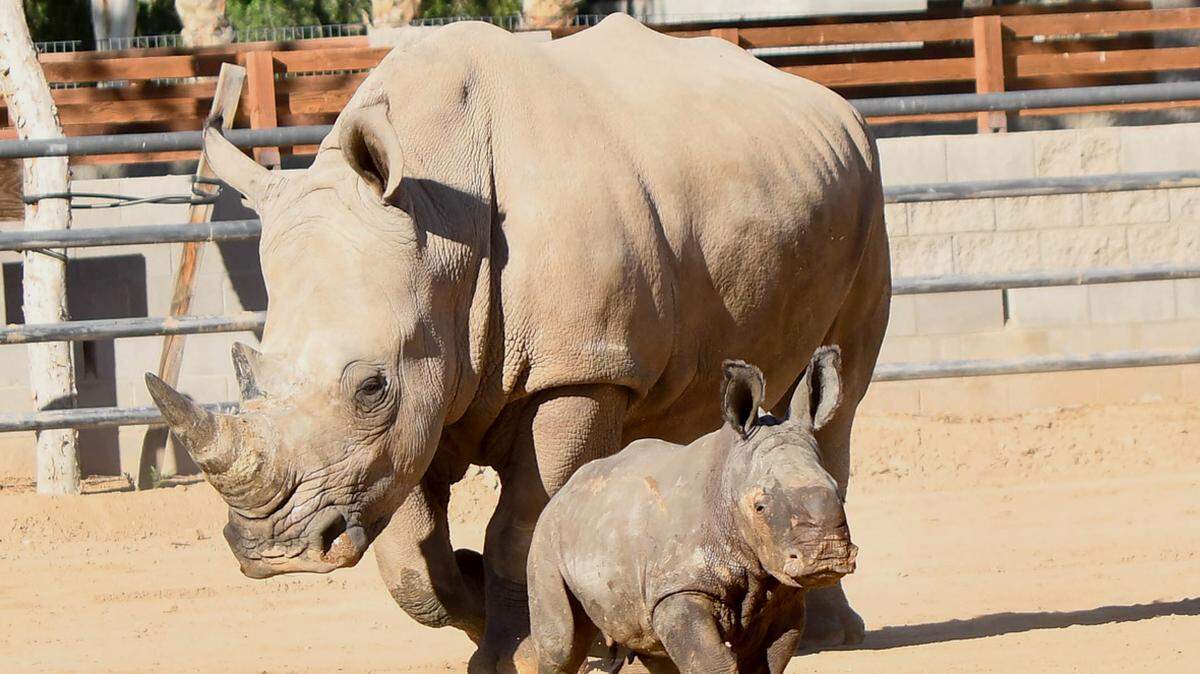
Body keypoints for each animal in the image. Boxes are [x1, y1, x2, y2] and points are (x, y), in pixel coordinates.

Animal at [523, 350, 856, 674]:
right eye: (759, 507)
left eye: (840, 493)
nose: (828, 556)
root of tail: (566, 489)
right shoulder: (680, 588)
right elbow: (711, 662)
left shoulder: (785, 594)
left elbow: (770, 662)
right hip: (547, 536)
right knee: (562, 646)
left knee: (651, 651)